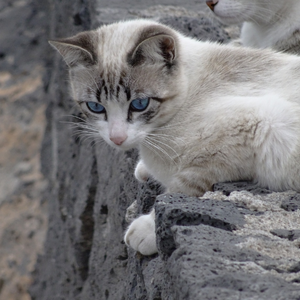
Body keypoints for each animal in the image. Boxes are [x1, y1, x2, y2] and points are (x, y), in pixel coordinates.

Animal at [49, 18, 300, 254]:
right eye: (95, 107)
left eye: (139, 104)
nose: (117, 138)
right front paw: (144, 169)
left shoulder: (254, 127)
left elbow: (182, 186)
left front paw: (146, 230)